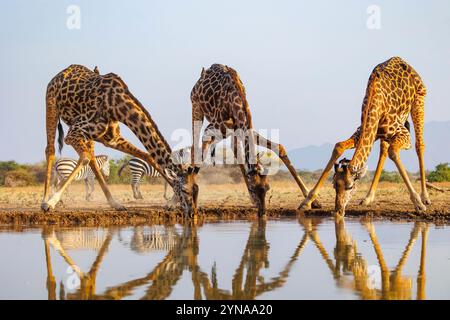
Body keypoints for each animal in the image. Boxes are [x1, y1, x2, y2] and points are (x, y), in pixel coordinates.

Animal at [40, 64, 199, 216]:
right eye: (185, 190)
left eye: (196, 190)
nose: (192, 213)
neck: (117, 106)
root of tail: (61, 72)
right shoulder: (73, 132)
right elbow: (84, 158)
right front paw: (51, 202)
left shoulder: (112, 139)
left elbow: (148, 156)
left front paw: (171, 202)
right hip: (51, 105)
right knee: (51, 150)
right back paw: (45, 201)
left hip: (93, 136)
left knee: (92, 156)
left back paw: (114, 203)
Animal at [190, 63, 320, 216]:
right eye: (253, 188)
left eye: (268, 188)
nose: (262, 213)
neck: (235, 98)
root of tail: (203, 72)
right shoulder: (212, 127)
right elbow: (201, 150)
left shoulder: (242, 128)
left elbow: (278, 147)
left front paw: (314, 201)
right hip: (196, 108)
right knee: (195, 145)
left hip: (232, 130)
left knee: (235, 149)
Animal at [298, 57, 428, 216]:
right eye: (334, 185)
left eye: (350, 186)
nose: (338, 211)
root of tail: (401, 60)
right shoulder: (363, 131)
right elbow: (338, 146)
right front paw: (306, 201)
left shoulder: (403, 134)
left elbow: (394, 152)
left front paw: (418, 204)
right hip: (387, 131)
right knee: (383, 150)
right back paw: (368, 198)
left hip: (419, 101)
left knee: (419, 145)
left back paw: (425, 197)